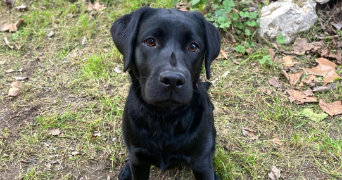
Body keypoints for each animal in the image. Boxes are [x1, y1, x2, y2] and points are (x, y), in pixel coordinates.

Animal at [111, 6, 220, 180]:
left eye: (193, 46)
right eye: (150, 41)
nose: (173, 80)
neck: (164, 118)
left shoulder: (202, 163)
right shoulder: (139, 161)